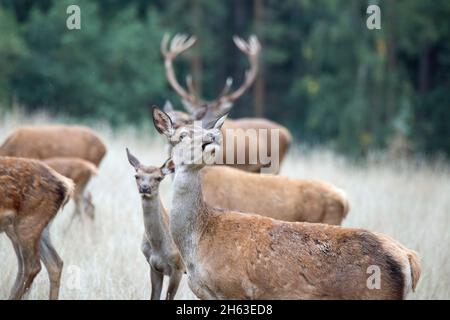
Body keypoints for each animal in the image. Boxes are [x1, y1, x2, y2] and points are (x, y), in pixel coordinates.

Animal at [125, 148, 185, 300]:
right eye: (137, 176)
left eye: (159, 177)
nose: (145, 188)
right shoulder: (153, 266)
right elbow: (154, 296)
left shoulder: (179, 267)